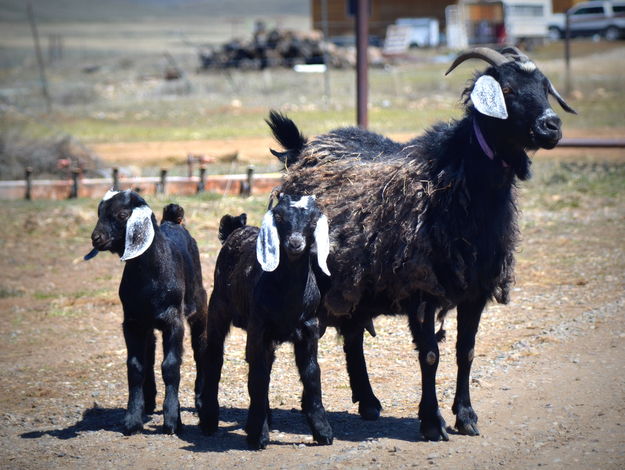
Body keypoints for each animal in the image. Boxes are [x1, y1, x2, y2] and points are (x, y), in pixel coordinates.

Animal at [264, 46, 576, 440]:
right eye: (506, 89)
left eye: (545, 87)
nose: (551, 126)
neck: (454, 184)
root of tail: (302, 148)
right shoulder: (420, 289)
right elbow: (430, 355)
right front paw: (432, 422)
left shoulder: (476, 289)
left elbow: (466, 352)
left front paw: (466, 416)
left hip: (354, 279)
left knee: (353, 334)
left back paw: (369, 402)